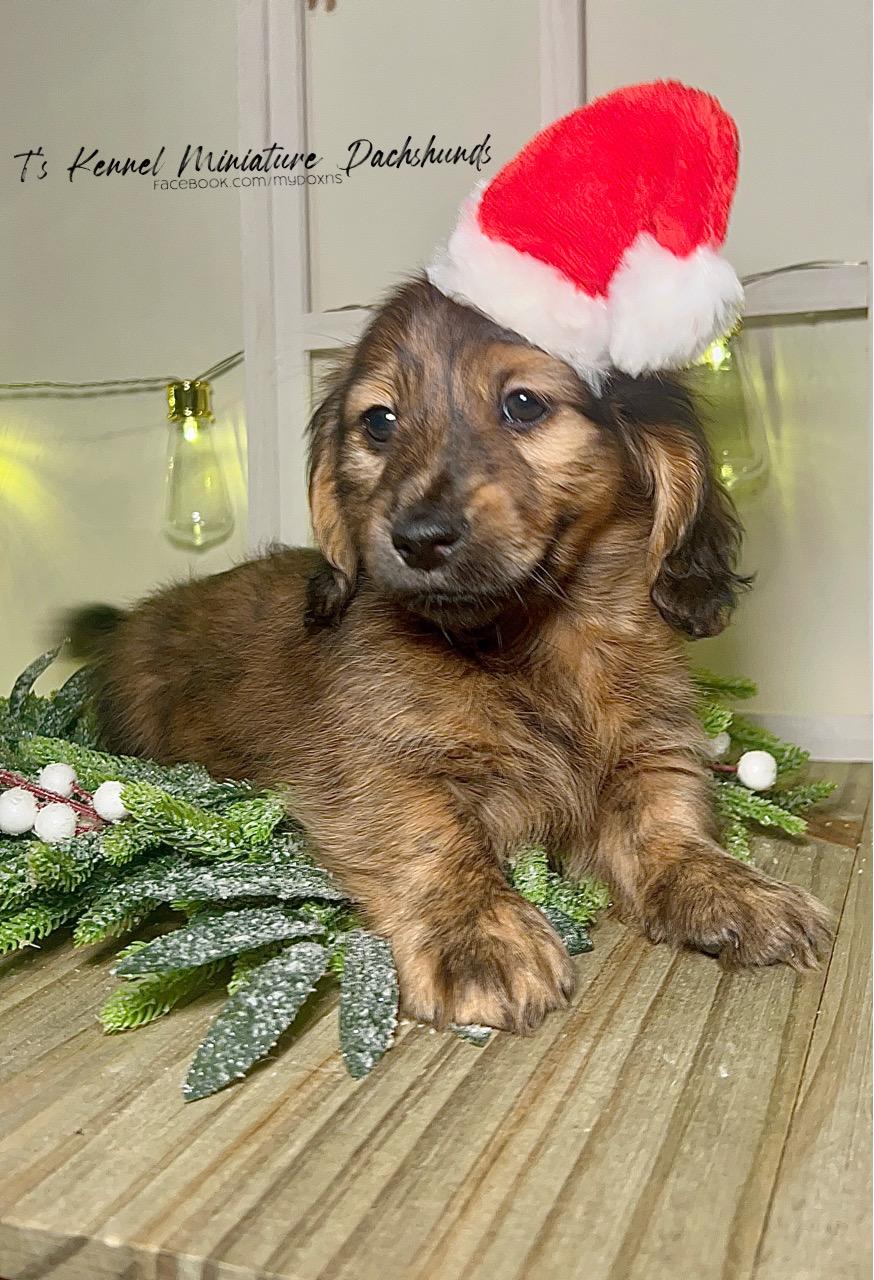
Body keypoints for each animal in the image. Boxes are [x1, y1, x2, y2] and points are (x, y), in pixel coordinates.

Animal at [69, 277, 831, 1032]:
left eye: (523, 404)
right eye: (379, 422)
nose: (418, 537)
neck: (528, 647)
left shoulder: (650, 750)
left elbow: (669, 823)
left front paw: (731, 888)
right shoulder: (368, 767)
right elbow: (432, 834)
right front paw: (477, 932)